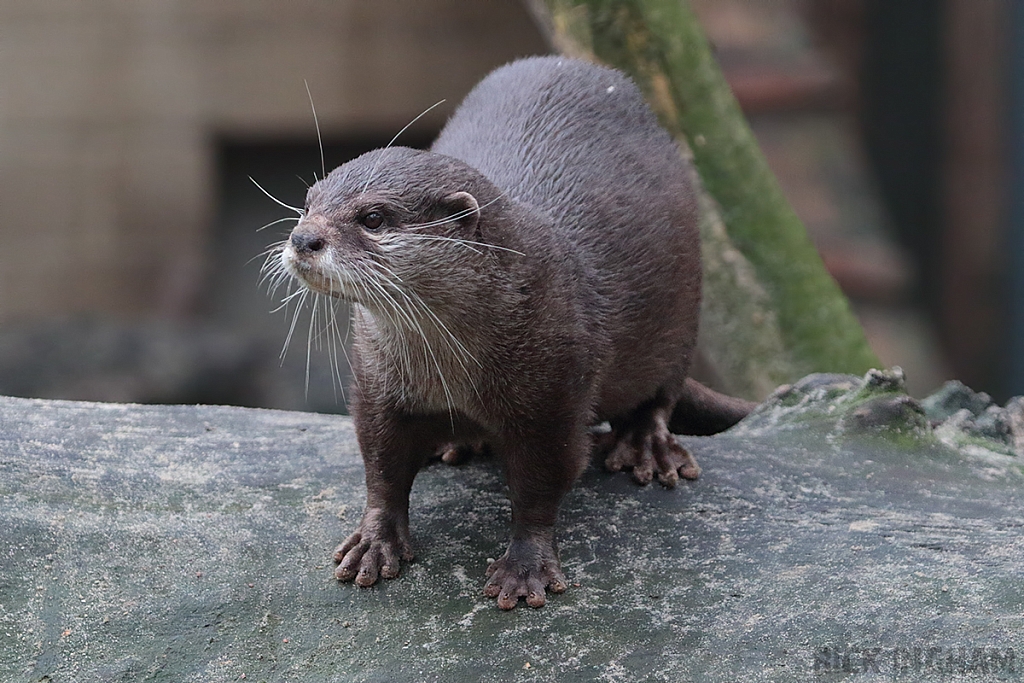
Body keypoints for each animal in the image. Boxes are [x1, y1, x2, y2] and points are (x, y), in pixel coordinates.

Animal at [276, 57, 757, 610]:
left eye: (373, 217)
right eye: (307, 202)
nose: (303, 237)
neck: (451, 371)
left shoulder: (554, 391)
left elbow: (541, 483)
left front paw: (524, 568)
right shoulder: (376, 380)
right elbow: (381, 466)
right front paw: (375, 542)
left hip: (686, 308)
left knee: (662, 393)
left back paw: (646, 448)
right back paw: (458, 444)